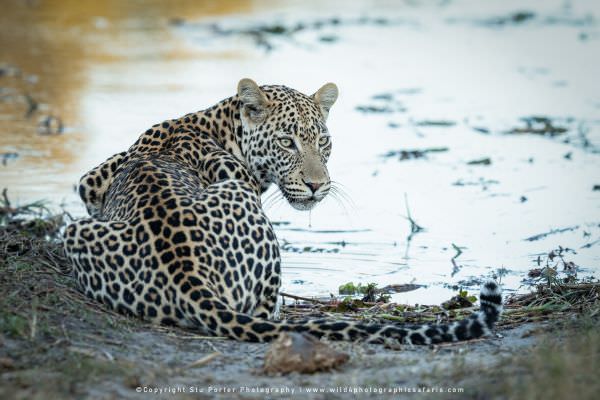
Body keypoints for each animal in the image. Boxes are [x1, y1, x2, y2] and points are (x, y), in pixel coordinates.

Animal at [62, 78, 502, 344]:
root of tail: (187, 276)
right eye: (287, 142)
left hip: (75, 229)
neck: (219, 125)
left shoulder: (92, 179)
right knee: (264, 310)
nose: (317, 185)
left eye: (323, 141)